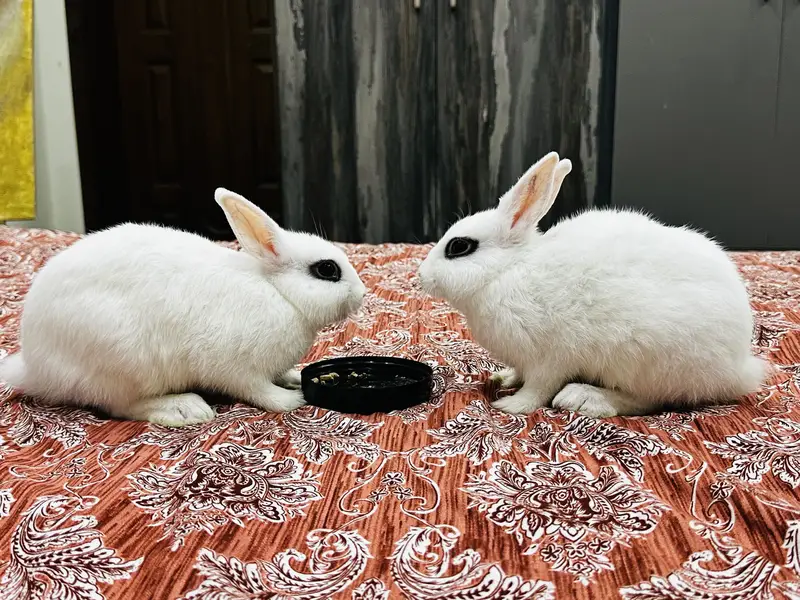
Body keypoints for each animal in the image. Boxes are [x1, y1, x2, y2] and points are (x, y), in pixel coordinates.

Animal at [0, 189, 366, 427]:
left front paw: (292, 378)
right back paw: (185, 410)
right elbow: (258, 391)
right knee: (120, 405)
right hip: (125, 360)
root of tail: (34, 366)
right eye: (326, 270)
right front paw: (293, 400)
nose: (363, 293)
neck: (280, 293)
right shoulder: (237, 369)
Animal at [417, 151, 767, 418]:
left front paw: (511, 405)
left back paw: (584, 398)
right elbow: (520, 373)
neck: (506, 272)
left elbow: (538, 388)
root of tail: (738, 370)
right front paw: (503, 378)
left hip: (646, 360)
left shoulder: (551, 357)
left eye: (459, 246)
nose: (421, 276)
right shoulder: (527, 360)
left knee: (647, 400)